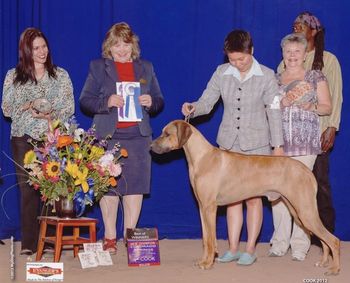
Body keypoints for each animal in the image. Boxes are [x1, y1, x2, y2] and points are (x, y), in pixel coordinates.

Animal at [152, 121, 340, 276]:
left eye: (167, 134)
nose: (151, 145)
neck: (200, 157)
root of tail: (307, 171)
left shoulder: (210, 208)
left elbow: (211, 240)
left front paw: (208, 264)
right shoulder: (202, 208)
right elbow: (205, 239)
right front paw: (203, 261)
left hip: (305, 211)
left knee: (333, 240)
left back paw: (335, 269)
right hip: (298, 211)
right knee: (323, 239)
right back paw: (323, 262)